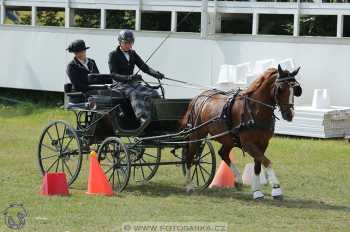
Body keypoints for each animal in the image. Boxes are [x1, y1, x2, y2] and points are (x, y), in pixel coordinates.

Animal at [180, 65, 300, 199]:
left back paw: (237, 179)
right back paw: (189, 186)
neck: (255, 110)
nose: (289, 115)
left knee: (223, 153)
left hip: (228, 138)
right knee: (190, 157)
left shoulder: (263, 143)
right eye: (280, 88)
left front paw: (257, 191)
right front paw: (276, 188)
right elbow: (267, 162)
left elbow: (258, 164)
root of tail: (198, 97)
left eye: (296, 89)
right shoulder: (248, 144)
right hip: (197, 134)